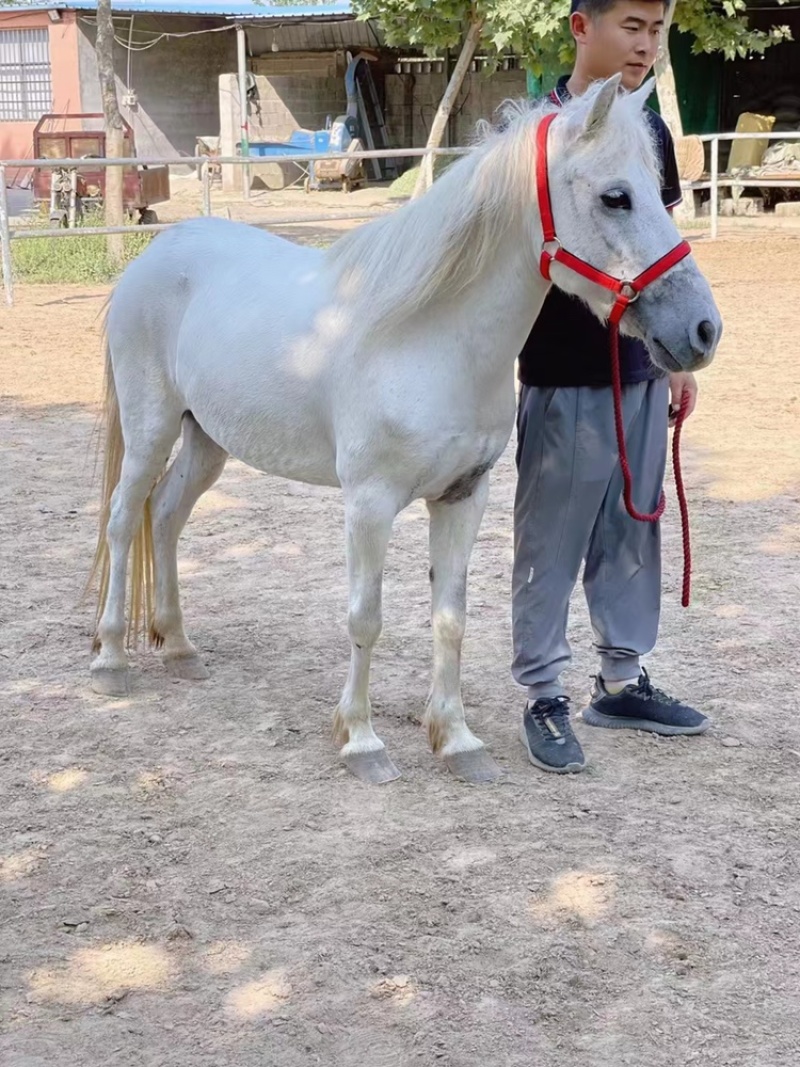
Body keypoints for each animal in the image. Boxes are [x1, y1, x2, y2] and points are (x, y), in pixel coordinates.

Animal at [88, 75, 721, 785]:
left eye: (657, 185)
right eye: (617, 196)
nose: (703, 330)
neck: (428, 338)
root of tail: (156, 254)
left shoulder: (463, 497)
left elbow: (450, 619)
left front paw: (457, 740)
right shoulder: (369, 503)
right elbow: (366, 619)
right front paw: (362, 742)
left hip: (206, 441)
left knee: (166, 516)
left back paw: (179, 647)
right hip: (151, 428)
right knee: (124, 518)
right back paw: (111, 660)